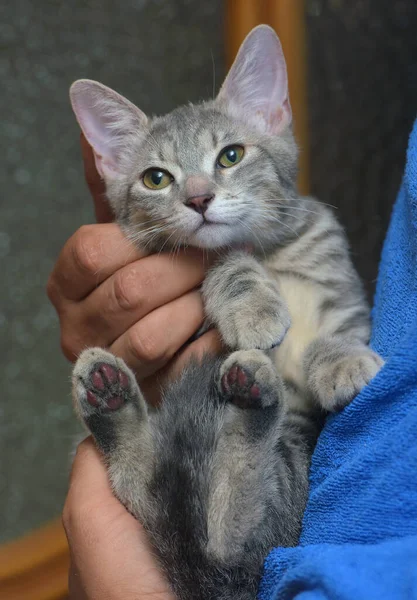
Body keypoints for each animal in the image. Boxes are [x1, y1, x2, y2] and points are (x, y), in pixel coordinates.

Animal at [70, 27, 382, 600]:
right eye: (156, 178)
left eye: (231, 155)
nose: (198, 199)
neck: (270, 254)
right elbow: (225, 261)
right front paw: (252, 303)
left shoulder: (345, 292)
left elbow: (341, 331)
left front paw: (341, 360)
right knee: (200, 519)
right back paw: (119, 397)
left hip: (295, 474)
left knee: (229, 530)